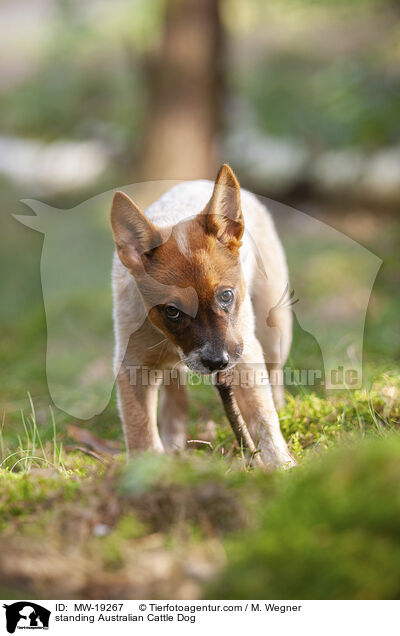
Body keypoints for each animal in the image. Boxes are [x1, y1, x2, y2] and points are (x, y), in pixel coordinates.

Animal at [111, 164, 296, 470]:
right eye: (172, 311)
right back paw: (174, 443)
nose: (217, 362)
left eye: (226, 296)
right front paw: (147, 469)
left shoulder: (245, 355)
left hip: (274, 331)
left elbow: (261, 415)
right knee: (175, 397)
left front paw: (281, 465)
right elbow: (140, 428)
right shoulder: (133, 365)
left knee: (274, 376)